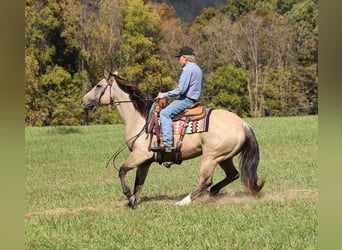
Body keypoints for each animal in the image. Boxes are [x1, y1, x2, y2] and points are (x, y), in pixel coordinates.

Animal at [81, 70, 264, 207]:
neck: (141, 119)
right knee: (233, 175)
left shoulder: (140, 155)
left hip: (211, 157)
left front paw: (128, 195)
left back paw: (183, 202)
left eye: (98, 85)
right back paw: (213, 193)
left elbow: (122, 170)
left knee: (206, 181)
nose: (83, 101)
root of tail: (243, 124)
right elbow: (139, 182)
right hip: (224, 157)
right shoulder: (145, 161)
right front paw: (133, 200)